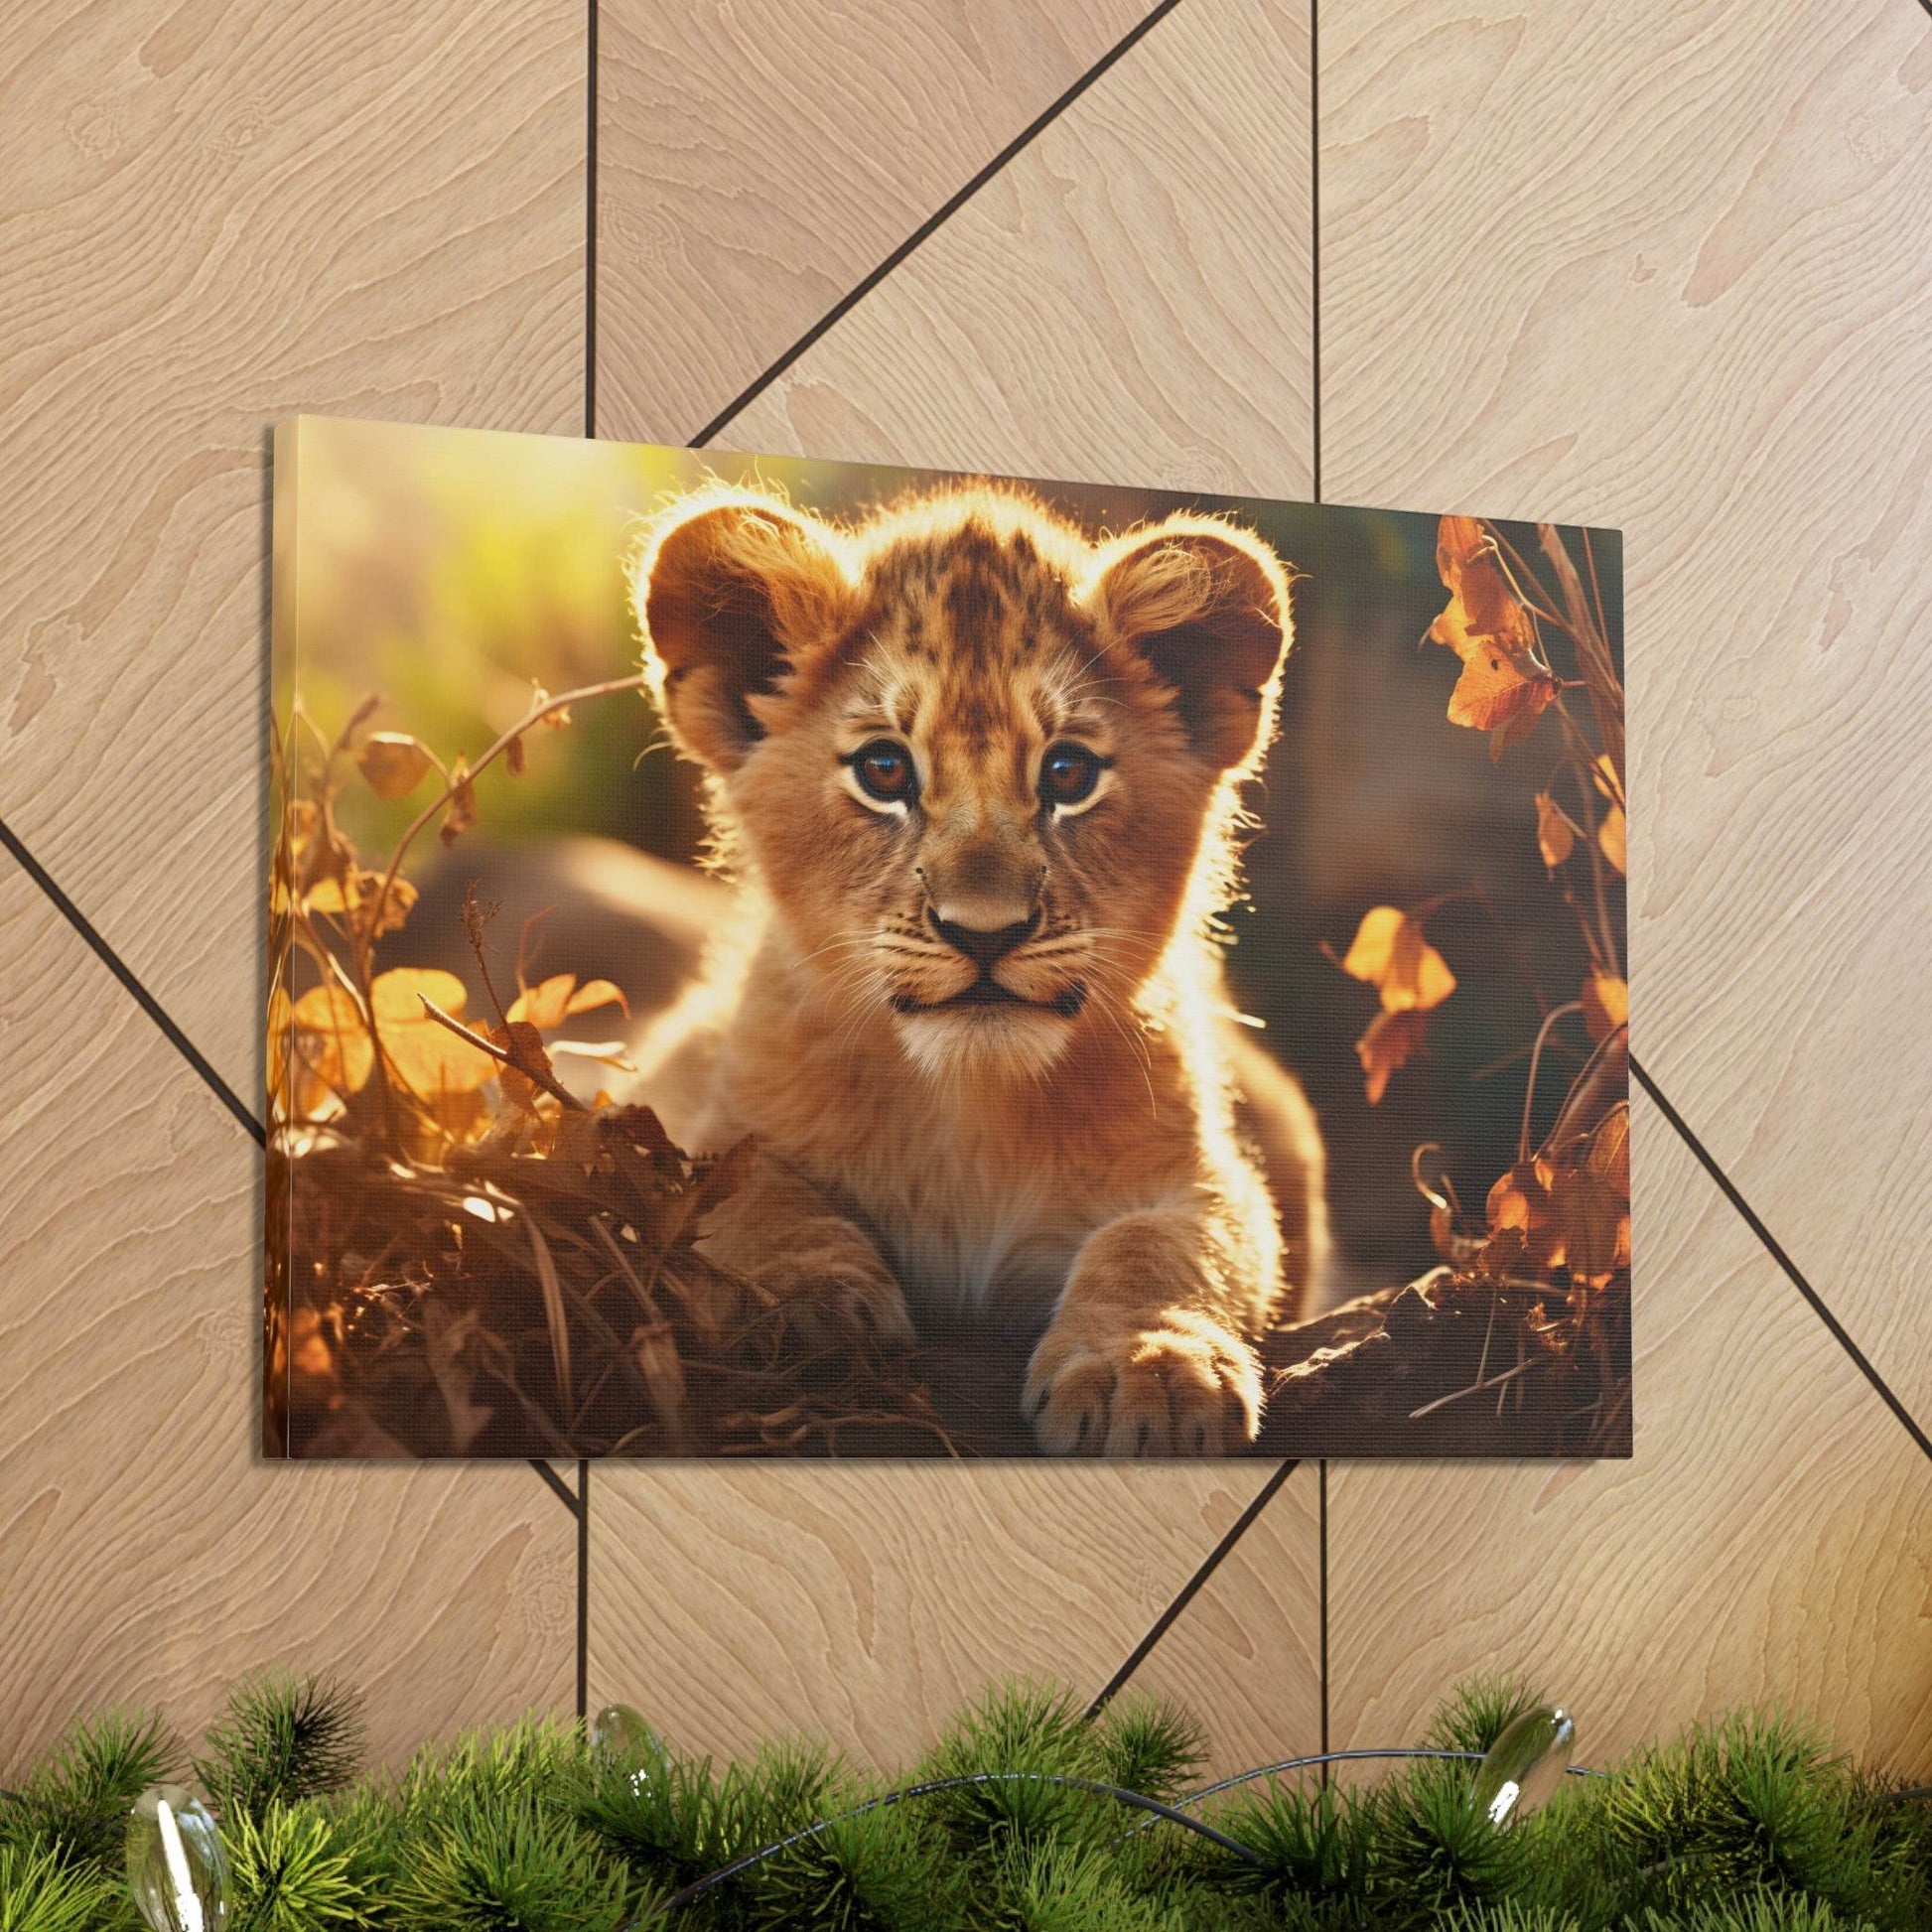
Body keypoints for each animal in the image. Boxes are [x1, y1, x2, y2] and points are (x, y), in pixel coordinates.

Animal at [624, 481, 1328, 1454]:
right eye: (884, 769)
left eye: (1068, 774)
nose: (985, 933)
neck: (967, 1109)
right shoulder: (694, 1110)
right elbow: (745, 1193)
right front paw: (802, 1305)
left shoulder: (1202, 1171)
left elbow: (1168, 1245)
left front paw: (1147, 1367)